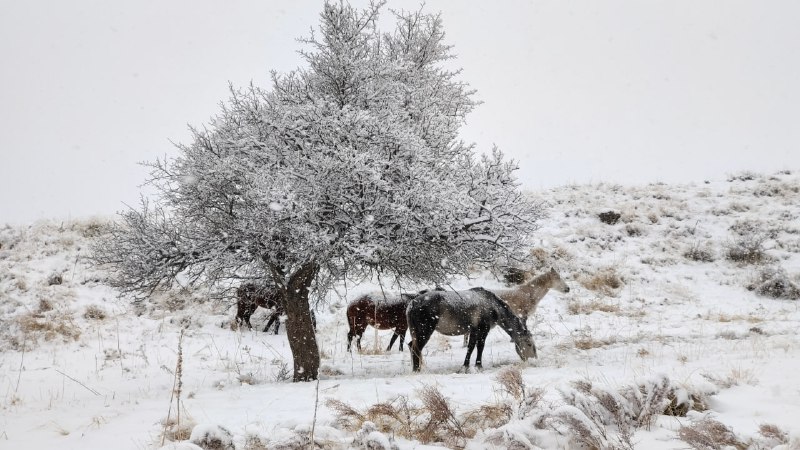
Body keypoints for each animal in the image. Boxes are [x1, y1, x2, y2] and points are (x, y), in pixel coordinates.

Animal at [406, 288, 536, 372]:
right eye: (529, 344)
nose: (533, 360)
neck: (492, 305)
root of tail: (412, 303)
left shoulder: (473, 331)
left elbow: (471, 347)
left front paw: (466, 366)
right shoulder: (483, 330)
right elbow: (479, 347)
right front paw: (478, 366)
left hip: (416, 332)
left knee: (411, 346)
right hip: (424, 332)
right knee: (416, 349)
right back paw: (417, 370)